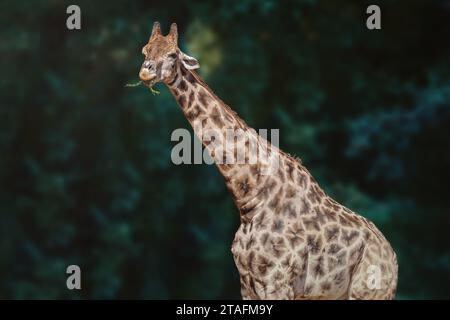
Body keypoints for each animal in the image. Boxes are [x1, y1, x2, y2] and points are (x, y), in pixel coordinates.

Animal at [138, 22, 398, 300]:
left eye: (172, 55)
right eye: (145, 50)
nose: (145, 71)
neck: (250, 199)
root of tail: (393, 260)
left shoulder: (277, 281)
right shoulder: (247, 282)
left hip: (368, 291)